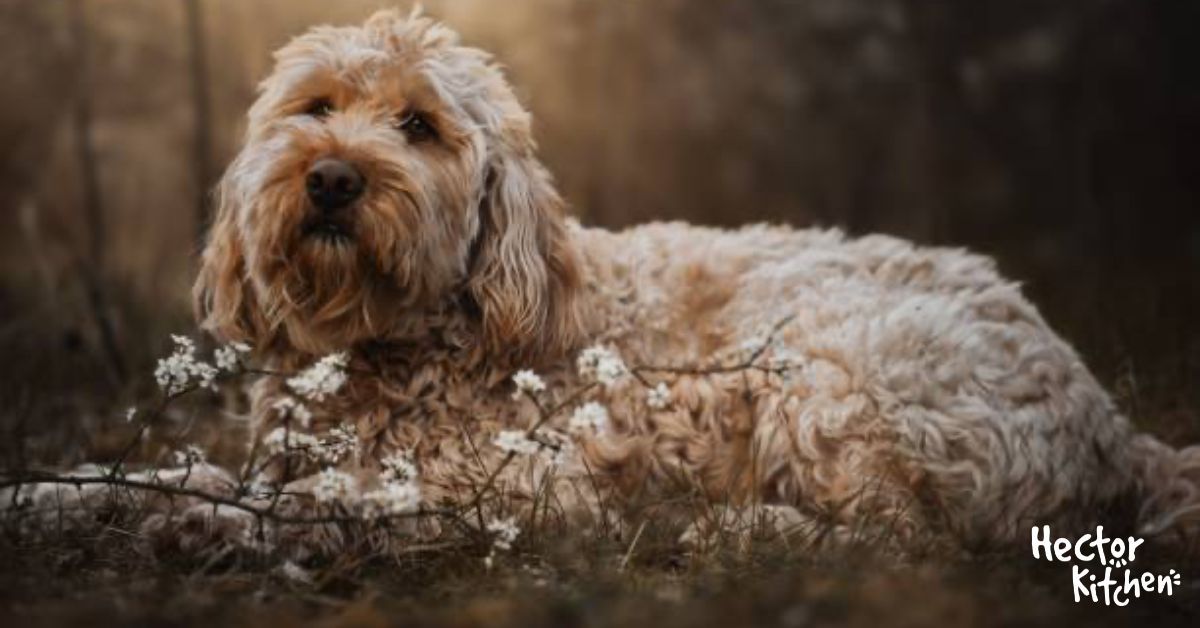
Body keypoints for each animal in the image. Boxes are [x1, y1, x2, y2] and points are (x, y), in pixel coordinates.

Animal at [192, 8, 1200, 549]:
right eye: (316, 107)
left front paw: (220, 517)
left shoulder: (534, 489)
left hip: (828, 366)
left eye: (418, 125)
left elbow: (348, 494)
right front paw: (162, 496)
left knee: (911, 540)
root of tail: (1110, 423)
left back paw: (748, 531)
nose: (331, 178)